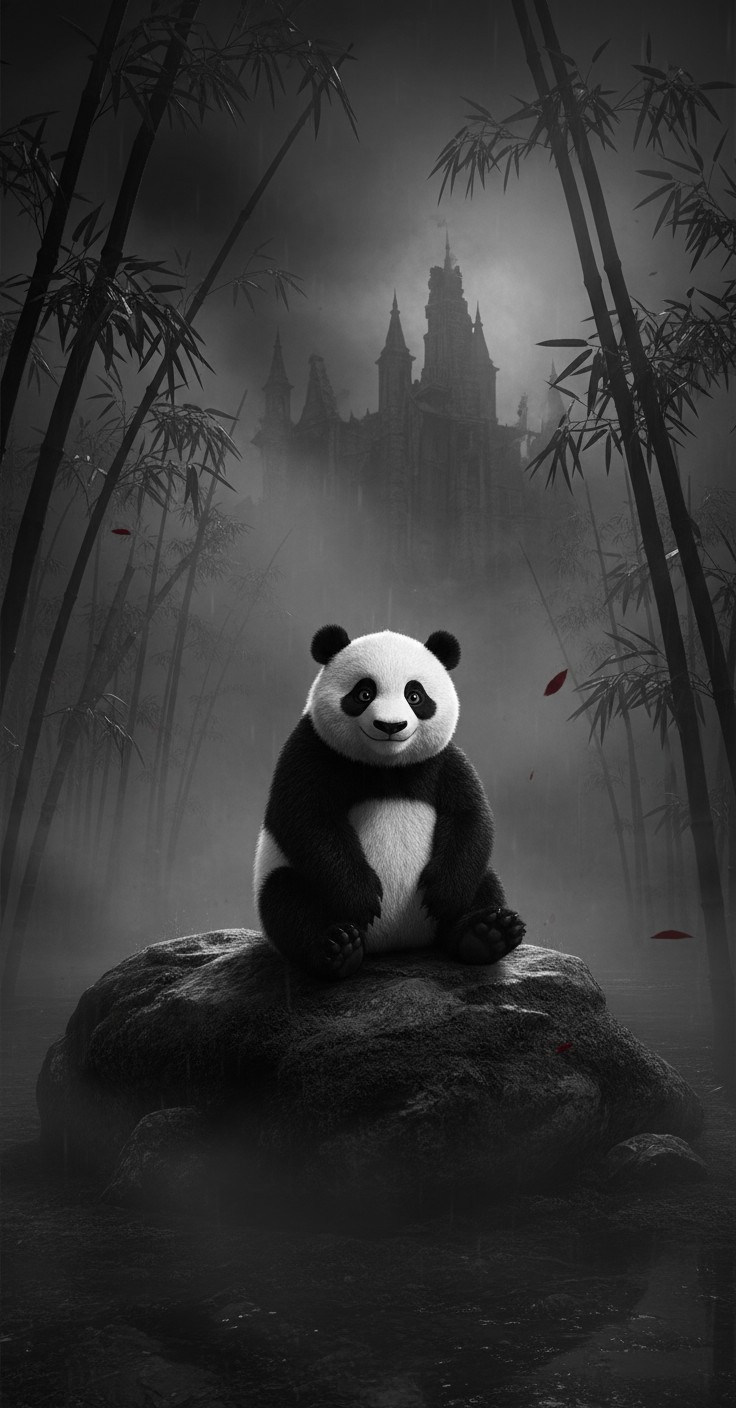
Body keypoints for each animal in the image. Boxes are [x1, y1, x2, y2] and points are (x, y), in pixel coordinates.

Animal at [253, 624, 525, 980]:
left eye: (415, 695)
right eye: (364, 694)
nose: (390, 726)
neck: (386, 766)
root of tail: (397, 941)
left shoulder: (442, 761)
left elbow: (470, 816)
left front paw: (445, 896)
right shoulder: (312, 750)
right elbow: (306, 818)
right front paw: (361, 897)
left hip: (472, 883)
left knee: (485, 883)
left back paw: (486, 935)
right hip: (289, 877)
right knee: (286, 902)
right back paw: (338, 949)